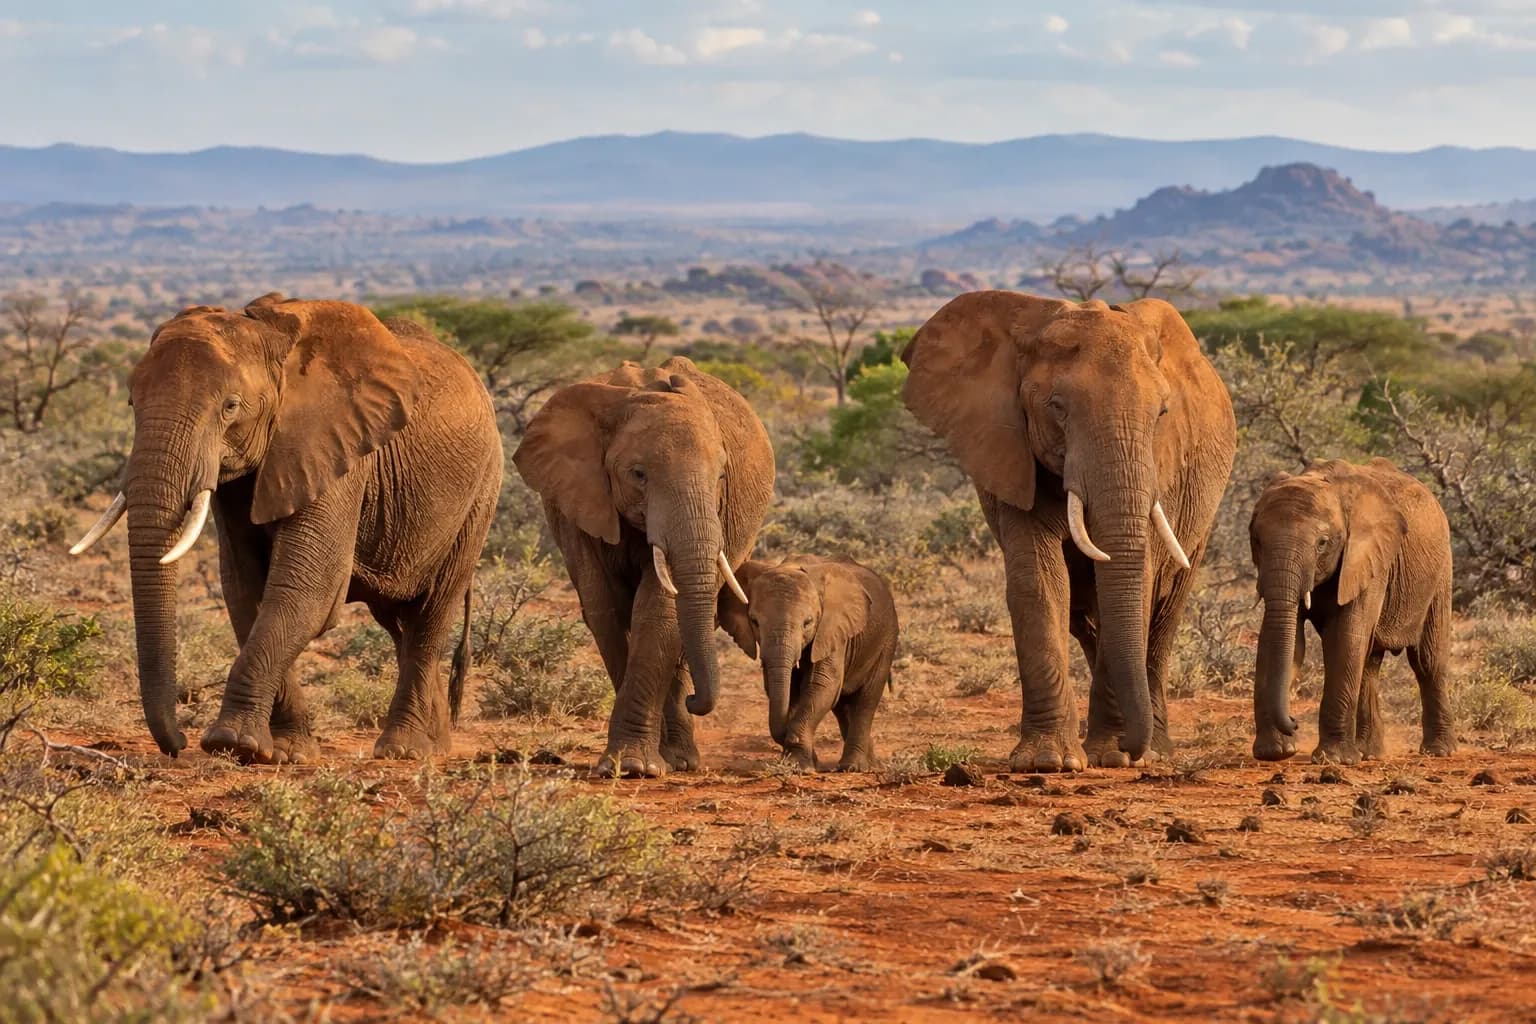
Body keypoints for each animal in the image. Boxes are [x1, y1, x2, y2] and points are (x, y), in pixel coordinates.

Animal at [69, 294, 502, 763]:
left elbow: (307, 589)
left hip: (480, 494)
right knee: (398, 622)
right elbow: (243, 588)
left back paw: (404, 749)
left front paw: (232, 743)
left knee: (430, 614)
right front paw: (285, 751)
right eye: (132, 403)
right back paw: (435, 742)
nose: (178, 743)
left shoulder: (335, 450)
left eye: (230, 407)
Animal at [512, 357, 775, 778]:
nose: (697, 700)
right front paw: (628, 766)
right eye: (639, 474)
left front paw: (638, 767)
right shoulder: (577, 499)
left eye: (721, 476)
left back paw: (680, 758)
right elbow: (602, 607)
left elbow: (658, 608)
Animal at [718, 555, 898, 771]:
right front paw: (804, 761)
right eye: (754, 621)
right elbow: (788, 689)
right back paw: (871, 763)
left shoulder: (831, 630)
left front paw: (798, 764)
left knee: (866, 699)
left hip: (886, 641)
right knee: (842, 706)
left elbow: (823, 683)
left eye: (808, 622)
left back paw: (853, 767)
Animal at [902, 292, 1236, 771]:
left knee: (1165, 609)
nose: (1130, 748)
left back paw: (1156, 749)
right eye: (1057, 408)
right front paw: (1048, 761)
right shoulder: (1010, 450)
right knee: (1086, 613)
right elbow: (1039, 580)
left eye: (1161, 413)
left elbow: (1140, 578)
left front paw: (1111, 757)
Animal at [1249, 458, 1455, 764]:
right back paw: (1369, 753)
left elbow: (1346, 636)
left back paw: (1438, 751)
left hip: (1440, 573)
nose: (1294, 721)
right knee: (1369, 665)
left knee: (1427, 660)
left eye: (1322, 543)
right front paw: (1274, 753)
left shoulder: (1369, 559)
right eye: (1257, 541)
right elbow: (1284, 639)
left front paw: (1333, 760)